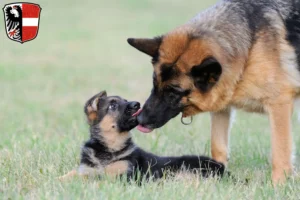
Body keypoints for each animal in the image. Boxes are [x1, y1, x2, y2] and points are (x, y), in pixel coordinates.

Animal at [59, 91, 225, 182]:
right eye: (112, 105)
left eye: (126, 101)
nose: (137, 104)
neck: (109, 148)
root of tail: (224, 169)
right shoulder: (87, 169)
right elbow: (73, 173)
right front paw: (59, 179)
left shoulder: (124, 177)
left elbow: (99, 181)